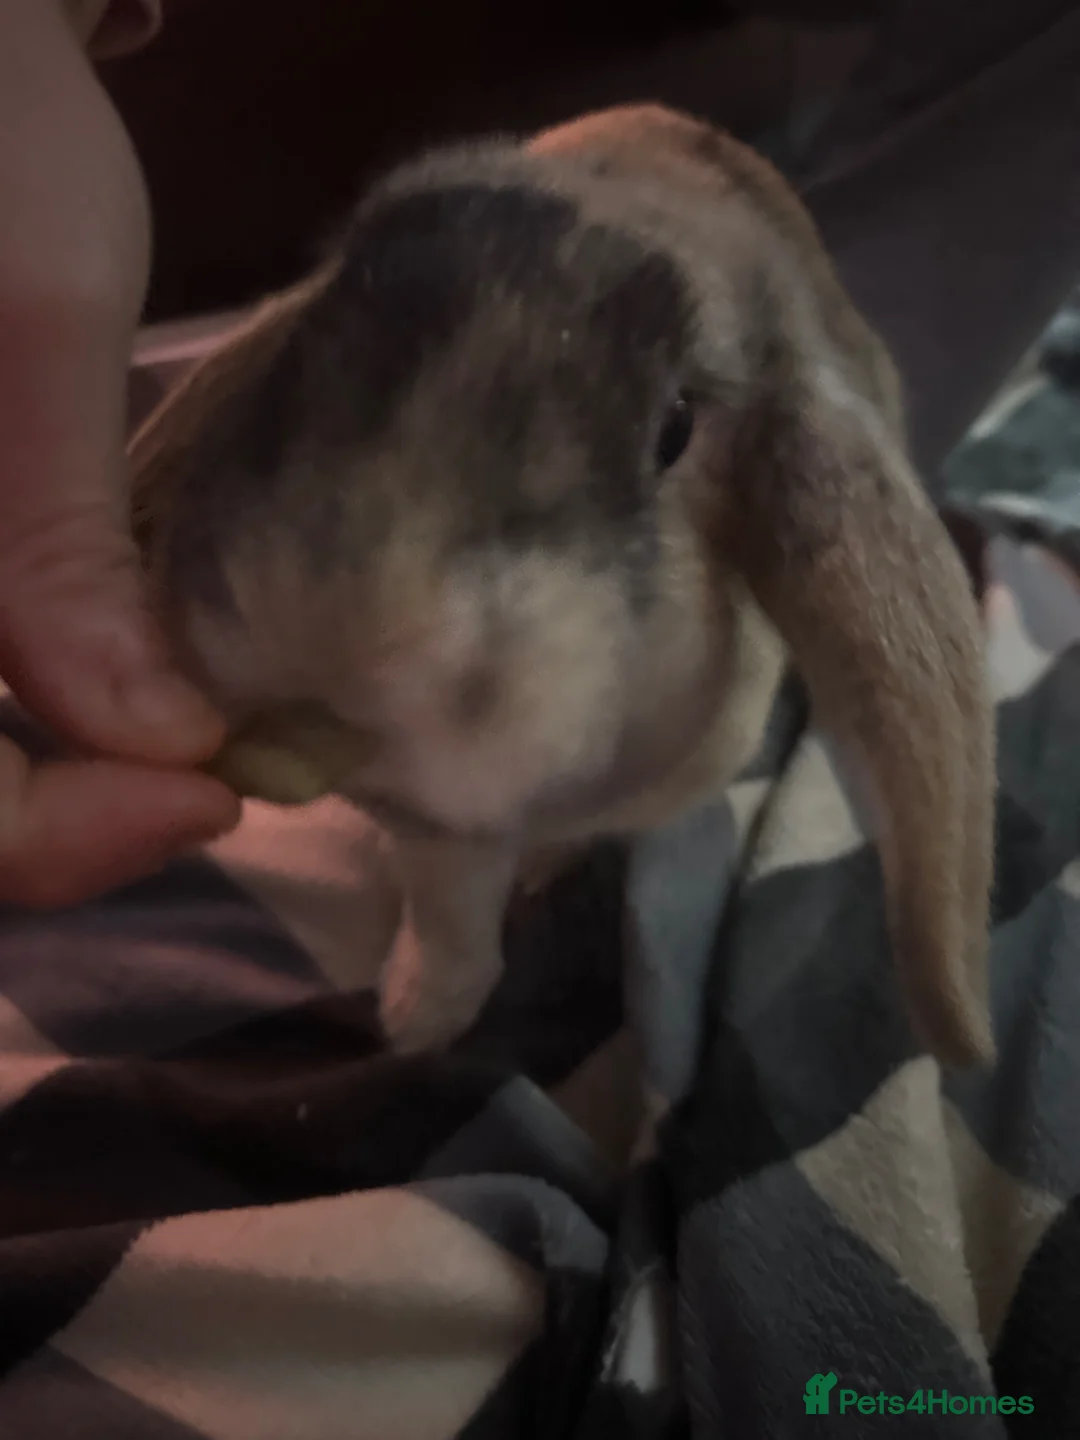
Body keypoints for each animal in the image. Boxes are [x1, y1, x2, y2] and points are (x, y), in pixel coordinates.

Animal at [129, 102, 996, 1068]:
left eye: (676, 430)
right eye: (318, 319)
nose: (325, 619)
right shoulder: (444, 835)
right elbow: (450, 914)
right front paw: (418, 1022)